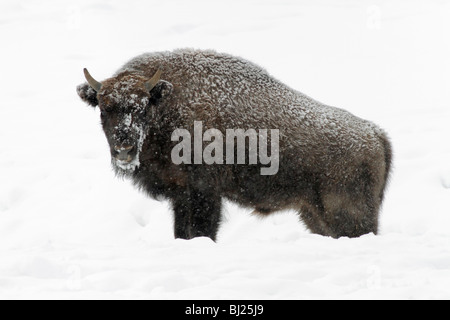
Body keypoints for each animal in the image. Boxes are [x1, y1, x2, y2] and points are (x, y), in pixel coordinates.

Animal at [76, 48, 390, 240]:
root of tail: (375, 134)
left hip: (347, 215)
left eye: (142, 108)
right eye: (103, 108)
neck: (167, 104)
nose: (124, 150)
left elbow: (202, 230)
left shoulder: (204, 193)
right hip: (314, 215)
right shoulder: (181, 196)